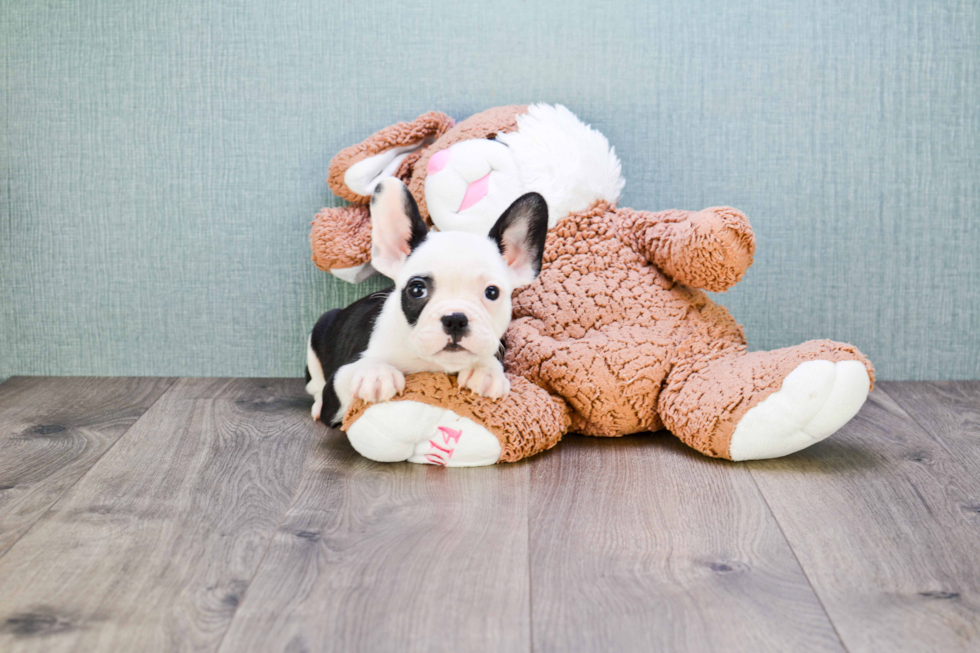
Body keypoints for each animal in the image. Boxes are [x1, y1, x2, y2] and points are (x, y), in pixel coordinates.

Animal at [304, 177, 548, 422]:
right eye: (417, 289)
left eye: (492, 293)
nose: (455, 319)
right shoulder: (337, 384)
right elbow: (349, 372)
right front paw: (375, 372)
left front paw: (484, 369)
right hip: (319, 333)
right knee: (314, 385)